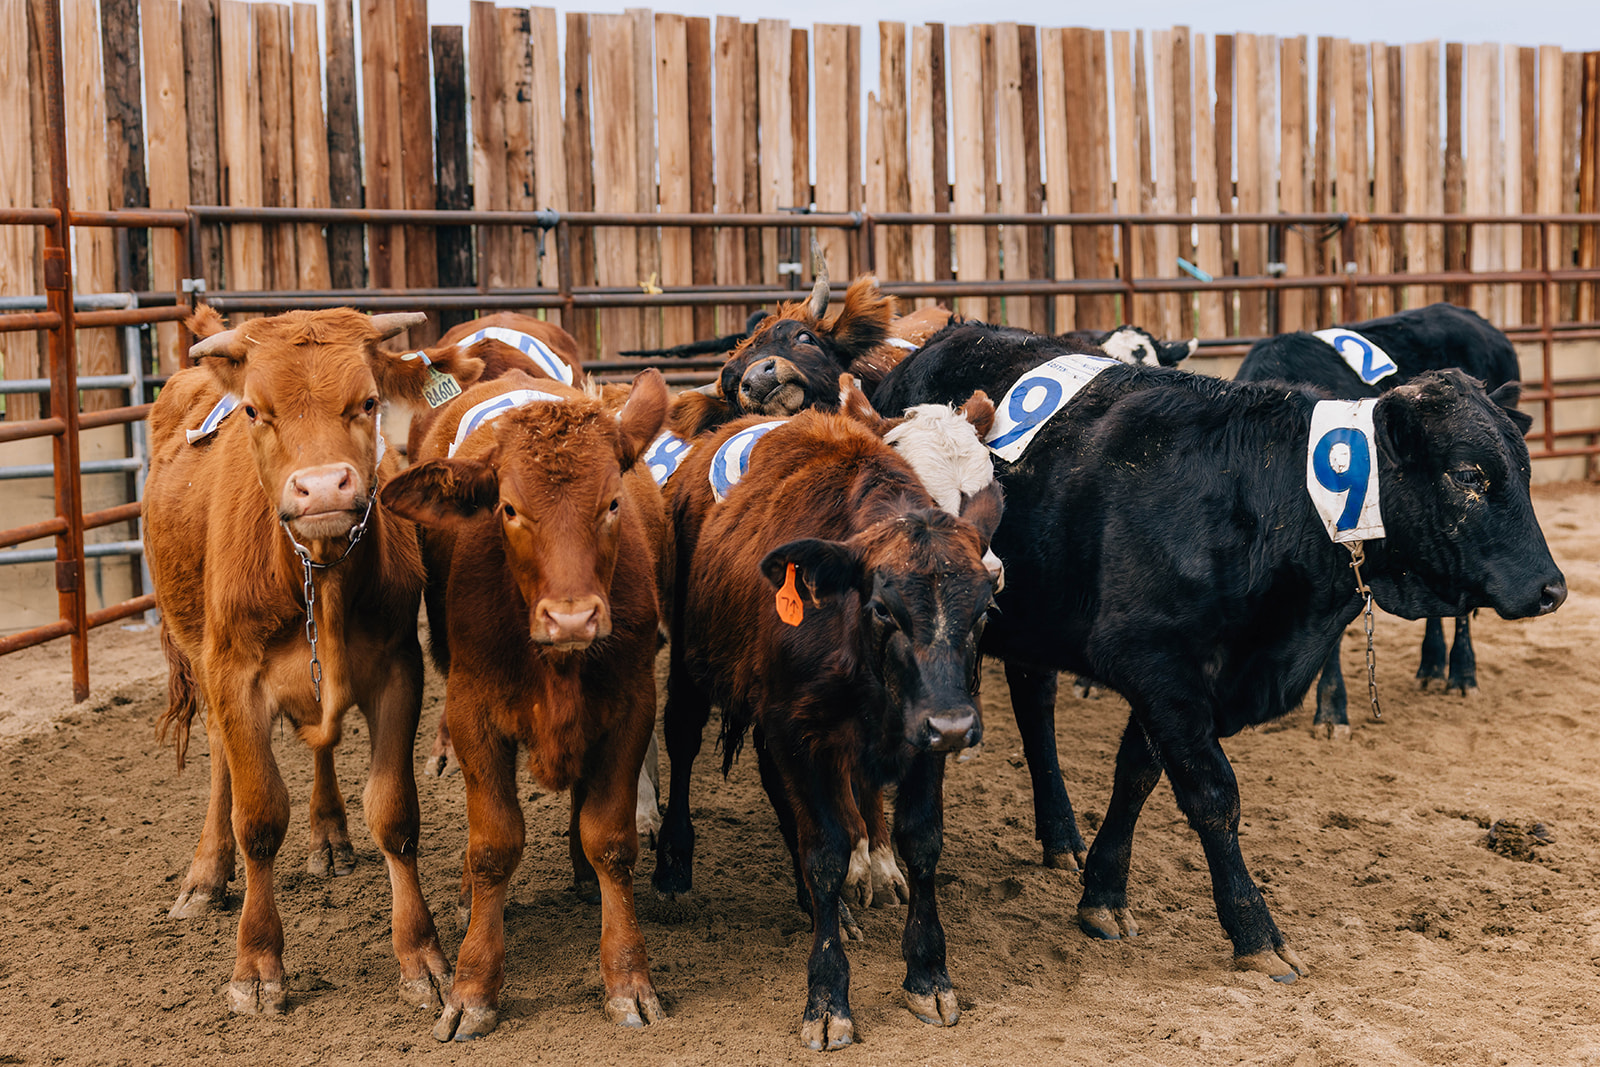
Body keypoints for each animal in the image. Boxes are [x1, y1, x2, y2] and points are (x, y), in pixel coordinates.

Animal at [147, 306, 483, 1015]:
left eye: (368, 402)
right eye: (255, 411)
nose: (324, 486)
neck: (316, 573)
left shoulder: (397, 670)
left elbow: (394, 812)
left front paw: (422, 956)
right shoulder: (234, 677)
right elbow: (258, 817)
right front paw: (256, 965)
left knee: (322, 742)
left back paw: (329, 836)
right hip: (199, 656)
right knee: (220, 763)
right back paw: (205, 876)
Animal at [381, 368, 671, 1041]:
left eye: (612, 503)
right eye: (509, 509)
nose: (572, 618)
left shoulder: (631, 706)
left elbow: (610, 838)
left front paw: (628, 977)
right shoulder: (473, 714)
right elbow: (493, 846)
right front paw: (473, 987)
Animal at [670, 408, 1002, 1048]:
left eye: (983, 612)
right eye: (883, 608)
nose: (954, 726)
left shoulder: (922, 738)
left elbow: (921, 842)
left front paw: (928, 974)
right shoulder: (801, 732)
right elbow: (826, 851)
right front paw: (827, 998)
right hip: (688, 662)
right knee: (681, 741)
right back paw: (671, 863)